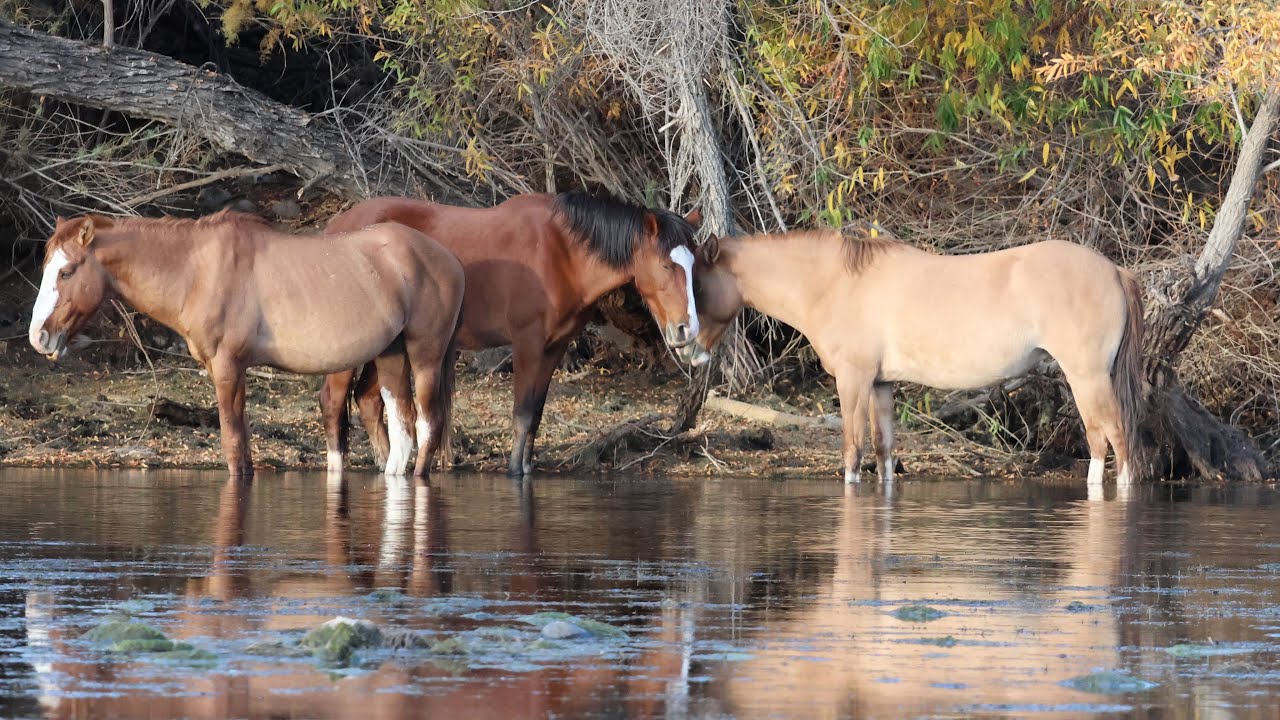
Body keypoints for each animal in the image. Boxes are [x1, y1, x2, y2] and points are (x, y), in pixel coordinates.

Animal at [28, 211, 465, 478]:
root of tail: (450, 260)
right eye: (46, 267)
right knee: (402, 427)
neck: (197, 271)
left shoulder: (229, 367)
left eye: (66, 271)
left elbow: (234, 443)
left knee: (427, 424)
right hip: (392, 355)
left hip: (425, 354)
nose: (38, 336)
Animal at [320, 192, 702, 476]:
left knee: (369, 401)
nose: (687, 329)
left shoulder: (555, 347)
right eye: (665, 265)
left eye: (693, 264)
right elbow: (522, 412)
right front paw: (515, 471)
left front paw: (526, 467)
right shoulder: (527, 344)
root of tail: (336, 228)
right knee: (335, 401)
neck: (560, 253)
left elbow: (535, 413)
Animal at [687, 226, 1145, 487]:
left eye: (699, 283)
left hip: (1087, 377)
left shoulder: (853, 380)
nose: (686, 344)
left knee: (1111, 441)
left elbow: (852, 453)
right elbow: (883, 451)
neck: (835, 283)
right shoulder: (880, 384)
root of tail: (1114, 270)